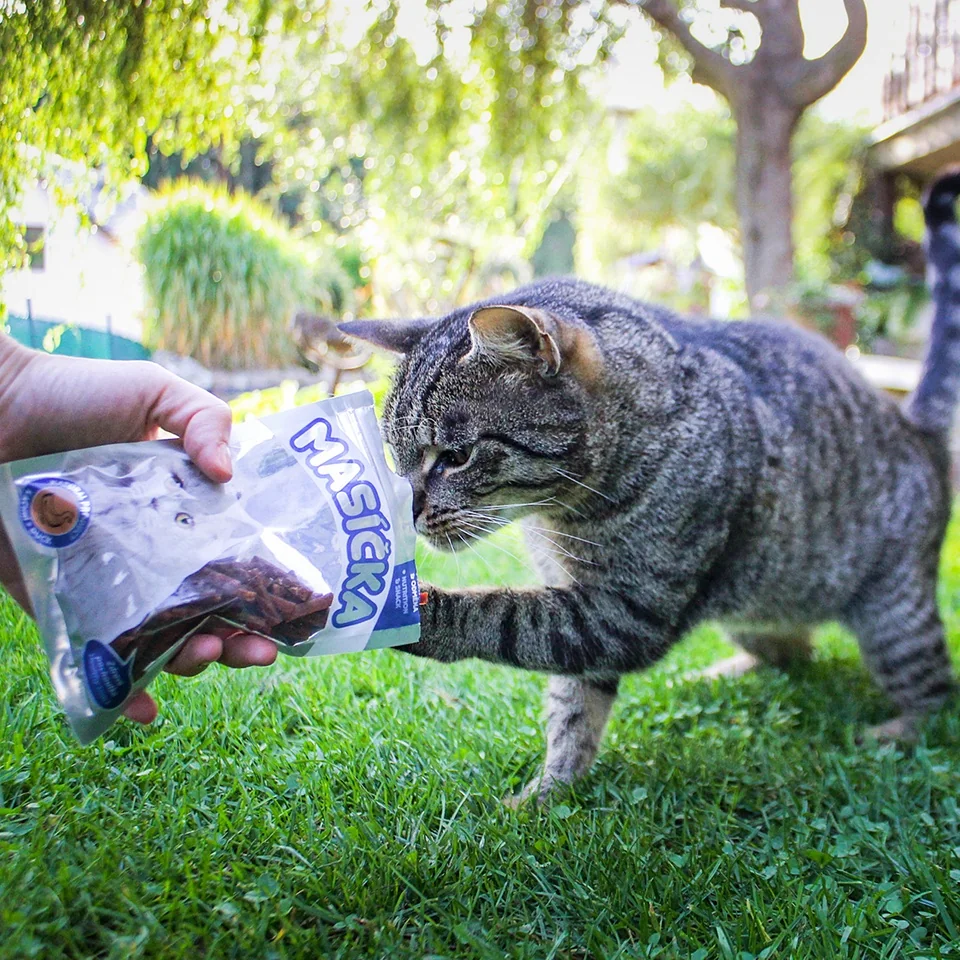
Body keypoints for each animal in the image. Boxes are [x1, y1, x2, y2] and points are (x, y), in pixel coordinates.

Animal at [340, 172, 960, 804]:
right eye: (394, 456)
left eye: (454, 457)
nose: (407, 511)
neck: (561, 514)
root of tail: (915, 425)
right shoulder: (587, 610)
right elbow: (573, 709)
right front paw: (547, 794)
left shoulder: (624, 610)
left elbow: (507, 619)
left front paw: (414, 616)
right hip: (757, 603)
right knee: (791, 652)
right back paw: (722, 673)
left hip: (895, 616)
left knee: (936, 693)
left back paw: (896, 732)